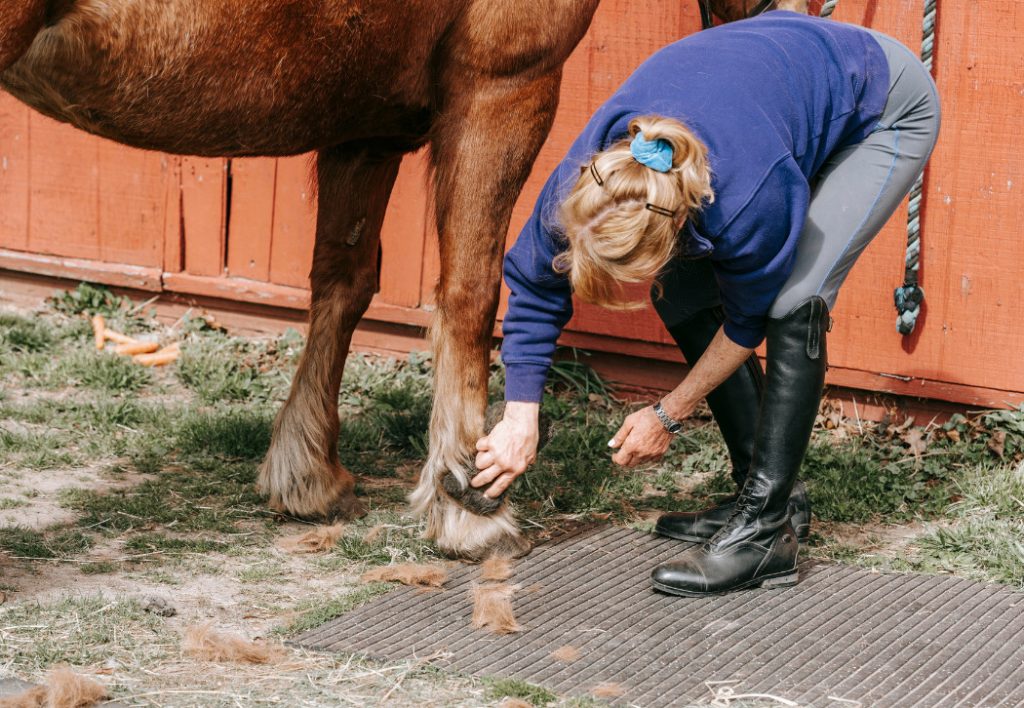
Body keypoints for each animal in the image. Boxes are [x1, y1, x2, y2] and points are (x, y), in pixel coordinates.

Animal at [0, 0, 807, 561]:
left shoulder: (366, 127)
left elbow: (344, 280)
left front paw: (306, 474)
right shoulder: (502, 86)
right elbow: (470, 291)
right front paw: (471, 502)